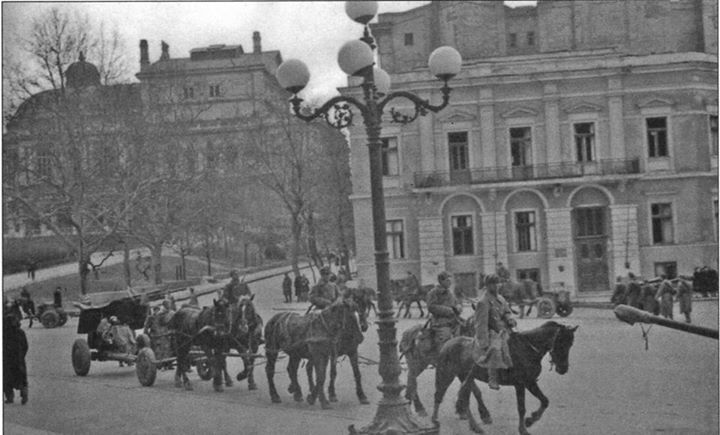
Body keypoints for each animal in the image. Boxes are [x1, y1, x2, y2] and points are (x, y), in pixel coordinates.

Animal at [430, 322, 576, 434]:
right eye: (560, 342)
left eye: (570, 344)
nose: (563, 369)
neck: (527, 348)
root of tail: (448, 343)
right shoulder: (521, 384)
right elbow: (521, 408)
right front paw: (523, 429)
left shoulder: (530, 382)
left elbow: (545, 401)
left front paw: (530, 420)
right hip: (446, 374)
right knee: (439, 394)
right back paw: (434, 421)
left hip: (465, 377)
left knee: (465, 399)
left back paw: (476, 426)